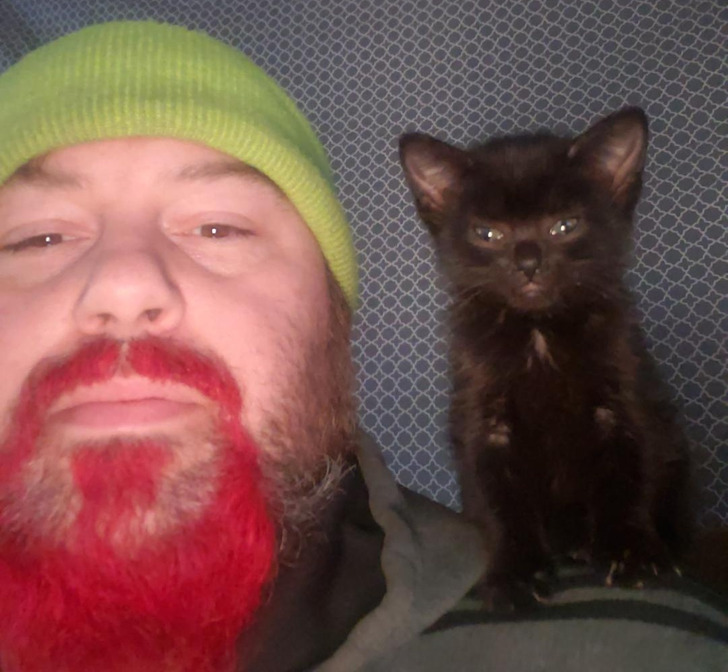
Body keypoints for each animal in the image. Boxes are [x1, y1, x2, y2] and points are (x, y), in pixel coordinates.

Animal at [398, 107, 692, 611]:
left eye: (565, 225)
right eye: (487, 233)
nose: (528, 262)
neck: (539, 335)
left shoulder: (626, 396)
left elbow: (631, 471)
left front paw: (632, 551)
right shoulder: (482, 415)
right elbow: (495, 498)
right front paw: (513, 571)